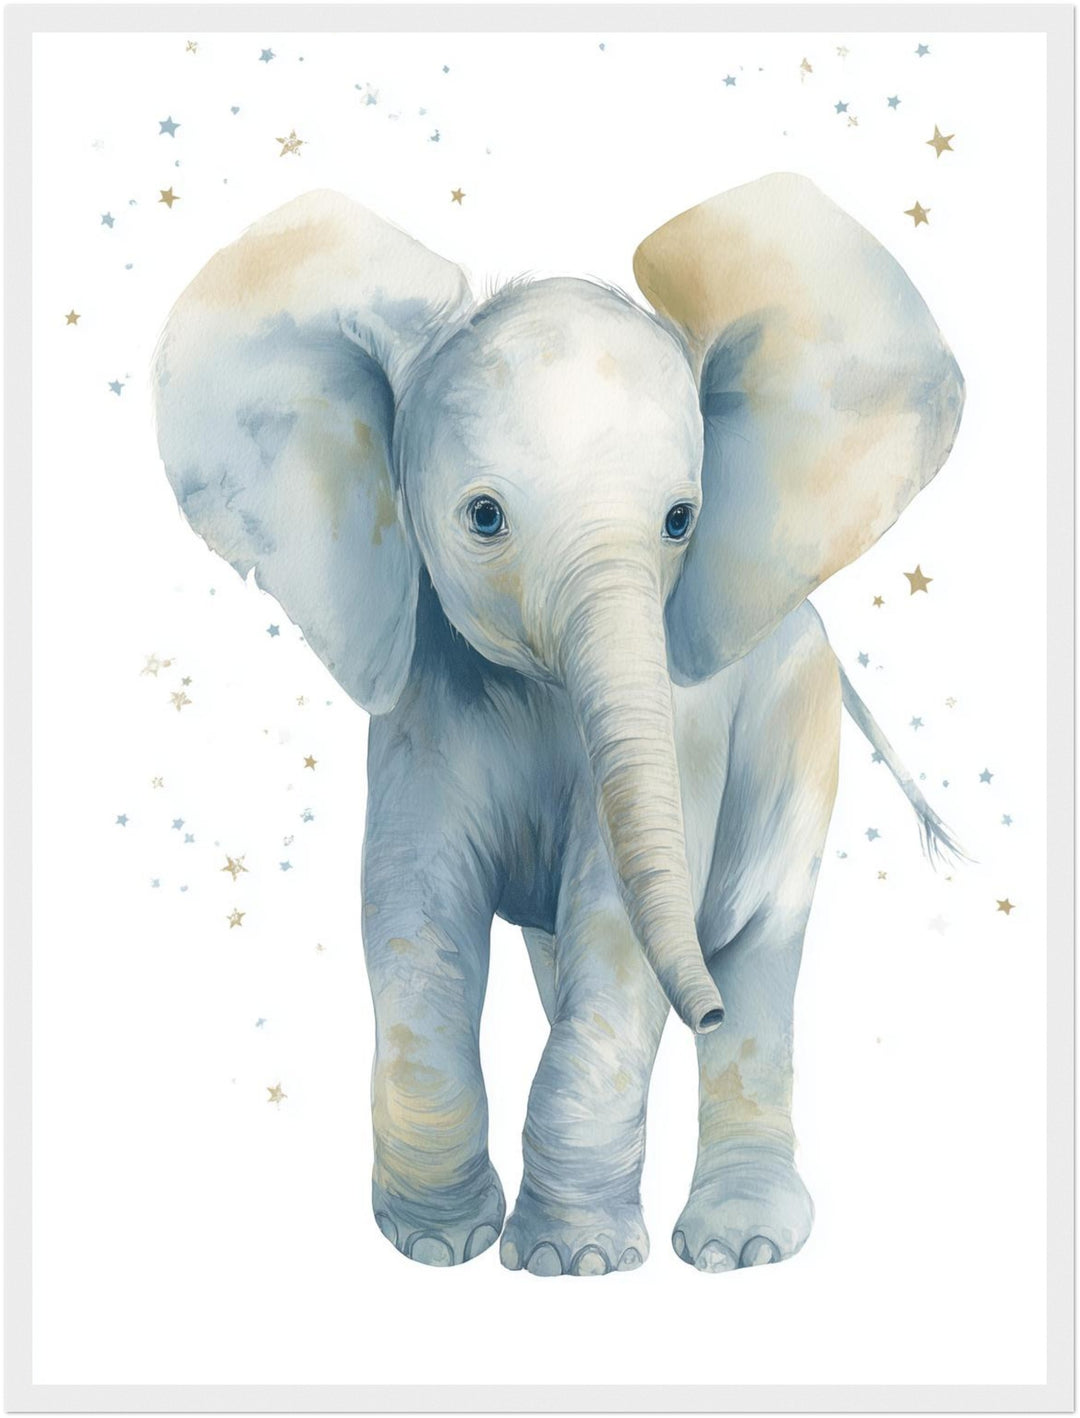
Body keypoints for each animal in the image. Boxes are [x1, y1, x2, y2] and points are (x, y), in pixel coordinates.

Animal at [152, 173, 964, 1276]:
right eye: (484, 516)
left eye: (680, 520)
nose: (699, 1003)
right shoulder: (425, 698)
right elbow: (412, 912)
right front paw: (437, 1242)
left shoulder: (683, 719)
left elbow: (617, 927)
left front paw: (567, 1264)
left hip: (799, 725)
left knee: (759, 942)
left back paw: (740, 1240)